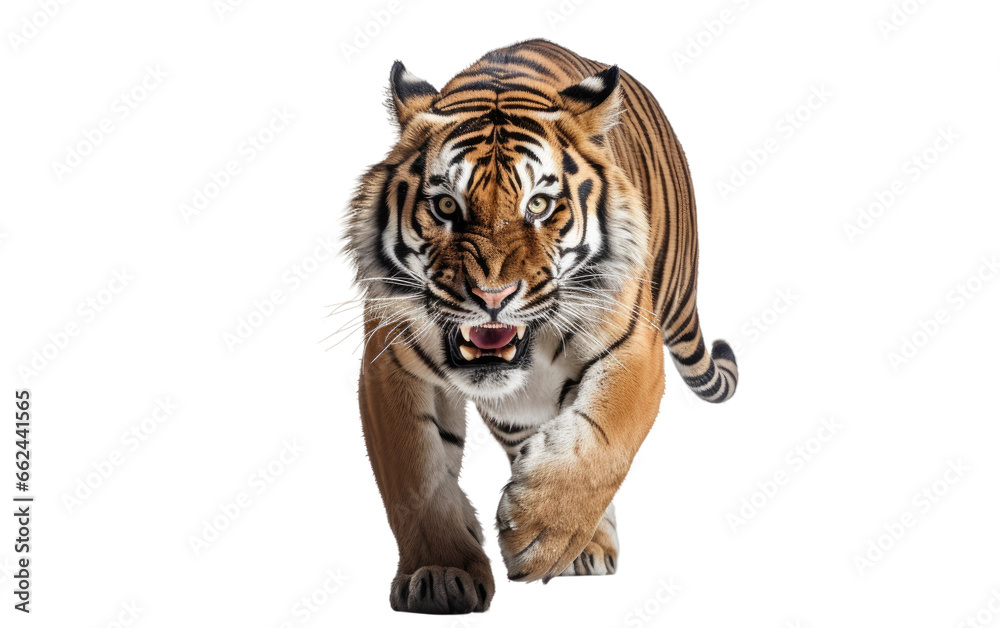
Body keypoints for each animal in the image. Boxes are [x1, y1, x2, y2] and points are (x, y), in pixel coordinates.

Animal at [344, 38, 738, 614]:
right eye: (446, 205)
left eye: (539, 205)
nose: (492, 297)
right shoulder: (390, 365)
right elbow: (416, 479)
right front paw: (439, 572)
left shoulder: (635, 348)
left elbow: (602, 441)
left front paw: (538, 532)